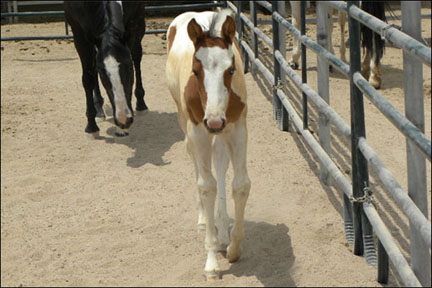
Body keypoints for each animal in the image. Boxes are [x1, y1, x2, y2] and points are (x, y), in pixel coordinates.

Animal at [64, 0, 148, 136]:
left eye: (129, 68)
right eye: (102, 72)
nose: (123, 119)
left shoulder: (135, 20)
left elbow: (135, 57)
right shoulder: (79, 34)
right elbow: (88, 78)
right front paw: (91, 125)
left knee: (136, 54)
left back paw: (141, 103)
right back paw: (98, 109)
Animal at [167, 10, 251, 280]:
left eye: (231, 69)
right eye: (195, 71)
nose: (214, 120)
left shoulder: (237, 128)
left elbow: (240, 185)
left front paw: (233, 247)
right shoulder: (199, 130)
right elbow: (206, 186)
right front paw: (212, 263)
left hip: (221, 133)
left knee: (220, 164)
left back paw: (222, 230)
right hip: (186, 124)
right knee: (196, 162)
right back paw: (205, 220)